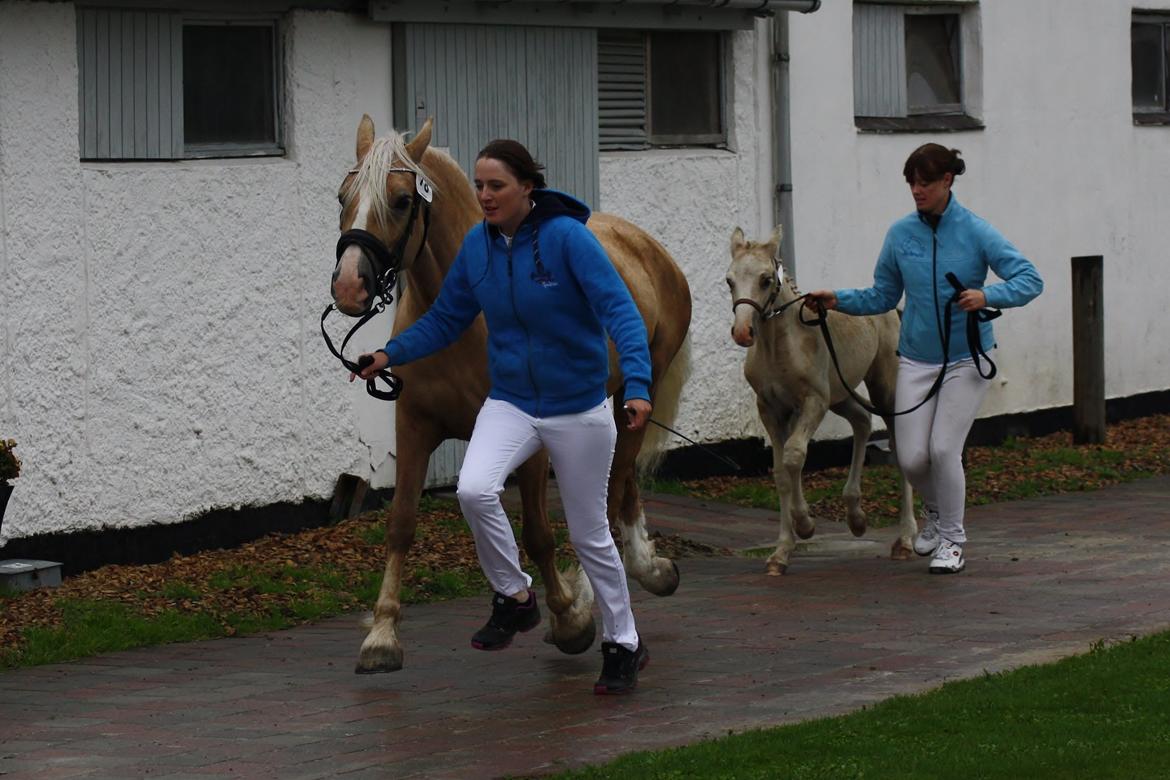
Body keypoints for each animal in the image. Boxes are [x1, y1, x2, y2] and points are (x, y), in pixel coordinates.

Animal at [329, 115, 687, 673]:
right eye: (342, 196)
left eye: (402, 200)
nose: (349, 286)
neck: (463, 321)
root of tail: (646, 246)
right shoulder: (414, 429)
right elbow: (402, 524)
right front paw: (382, 635)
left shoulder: (533, 445)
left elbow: (538, 531)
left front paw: (568, 620)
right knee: (622, 488)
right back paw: (650, 569)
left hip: (630, 405)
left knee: (608, 501)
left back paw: (597, 594)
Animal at [725, 225, 917, 573]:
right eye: (729, 280)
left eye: (765, 279)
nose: (743, 332)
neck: (780, 346)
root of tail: (891, 309)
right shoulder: (770, 409)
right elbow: (780, 472)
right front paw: (780, 553)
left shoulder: (812, 402)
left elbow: (794, 456)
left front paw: (805, 525)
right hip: (839, 395)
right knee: (862, 421)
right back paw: (856, 517)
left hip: (884, 388)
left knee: (897, 446)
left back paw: (906, 539)